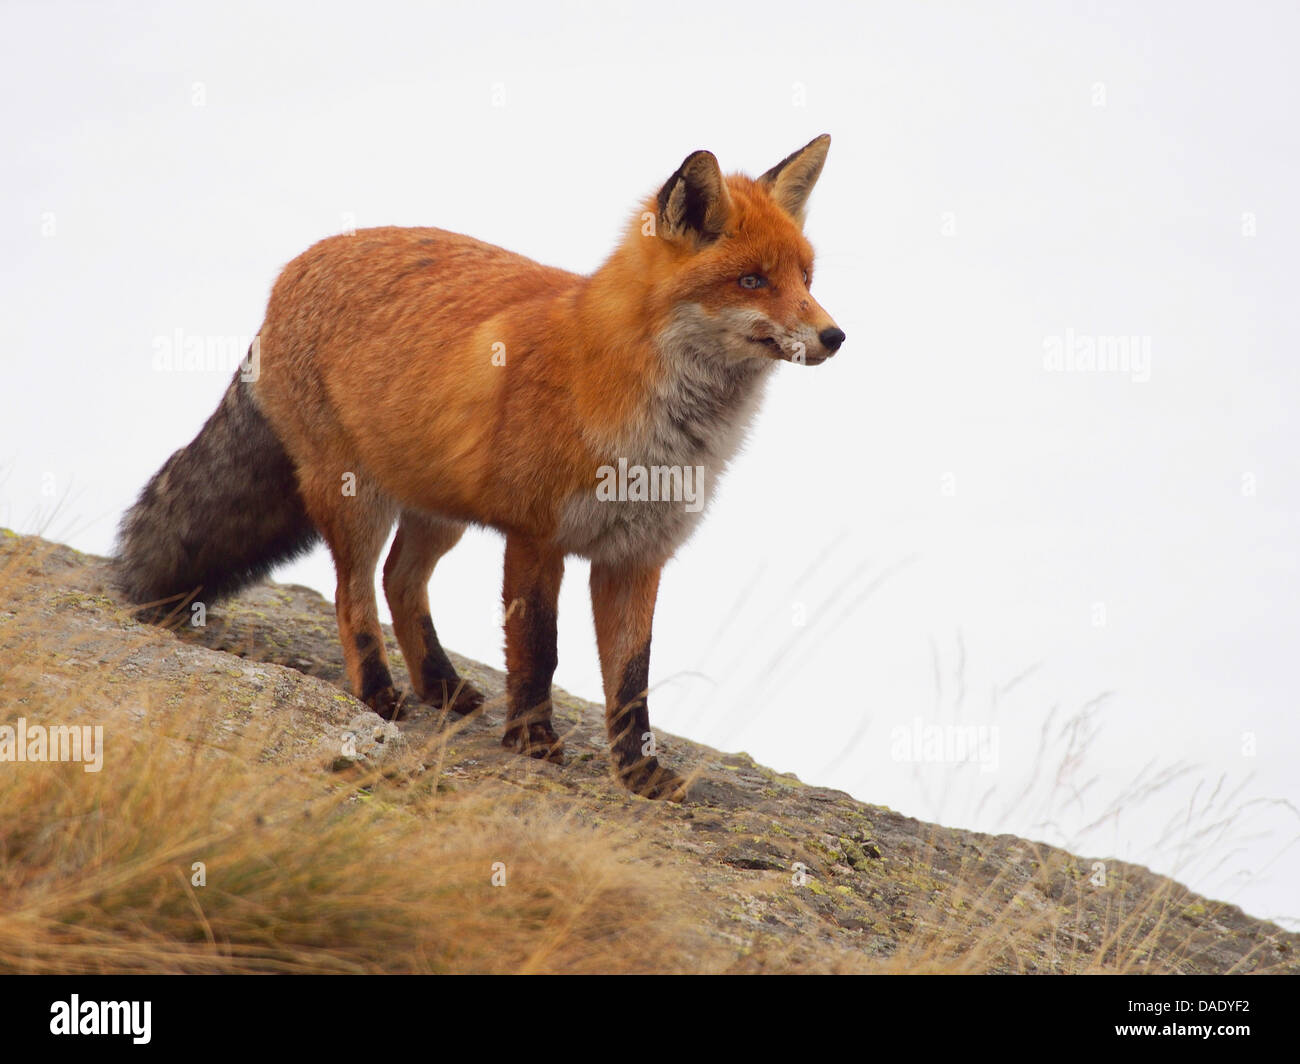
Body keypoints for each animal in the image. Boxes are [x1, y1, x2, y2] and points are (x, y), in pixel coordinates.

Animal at [115, 135, 844, 800]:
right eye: (751, 281)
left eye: (806, 280)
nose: (835, 336)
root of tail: (293, 267)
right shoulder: (536, 537)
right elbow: (538, 648)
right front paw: (532, 738)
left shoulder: (636, 555)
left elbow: (632, 681)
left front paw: (637, 773)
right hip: (357, 502)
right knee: (354, 594)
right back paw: (379, 695)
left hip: (439, 513)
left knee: (399, 582)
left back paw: (439, 684)